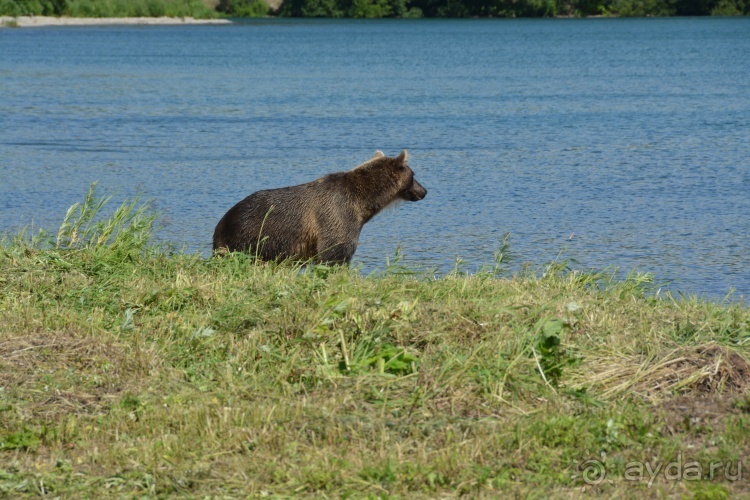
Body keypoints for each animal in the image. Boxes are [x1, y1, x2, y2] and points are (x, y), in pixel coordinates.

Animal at [212, 149, 428, 264]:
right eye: (414, 175)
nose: (424, 191)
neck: (362, 202)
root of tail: (222, 222)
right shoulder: (337, 214)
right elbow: (335, 251)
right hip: (250, 236)